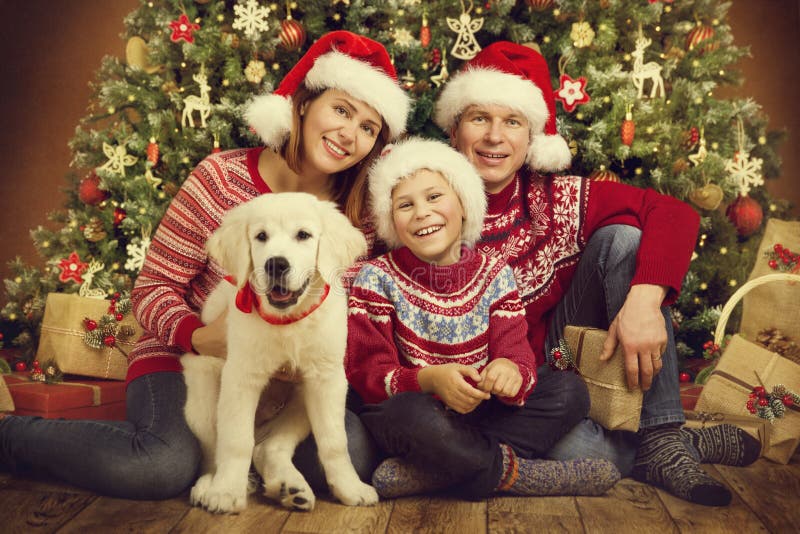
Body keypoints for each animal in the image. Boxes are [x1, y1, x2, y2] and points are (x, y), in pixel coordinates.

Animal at [183, 193, 376, 516]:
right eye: (261, 236)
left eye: (304, 235)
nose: (276, 265)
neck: (288, 322)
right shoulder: (240, 377)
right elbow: (235, 440)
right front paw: (227, 493)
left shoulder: (327, 380)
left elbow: (334, 441)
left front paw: (350, 488)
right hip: (203, 390)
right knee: (212, 451)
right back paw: (209, 486)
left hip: (300, 400)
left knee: (267, 447)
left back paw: (290, 488)